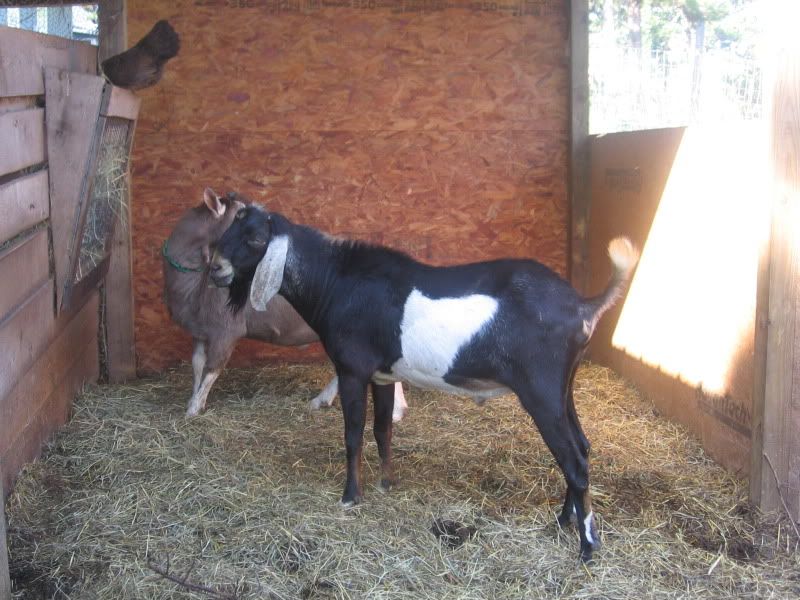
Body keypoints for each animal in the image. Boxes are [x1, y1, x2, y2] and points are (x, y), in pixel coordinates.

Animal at [163, 188, 407, 419]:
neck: (196, 284)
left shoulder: (226, 330)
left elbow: (211, 370)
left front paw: (193, 409)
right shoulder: (200, 331)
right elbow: (197, 365)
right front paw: (193, 400)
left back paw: (393, 412)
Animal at [209, 201, 639, 562]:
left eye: (255, 238)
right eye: (228, 230)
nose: (215, 268)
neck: (337, 280)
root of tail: (582, 306)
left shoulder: (352, 370)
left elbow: (354, 434)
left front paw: (351, 496)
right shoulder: (382, 373)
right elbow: (383, 428)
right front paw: (386, 483)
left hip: (541, 390)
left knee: (574, 460)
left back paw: (587, 548)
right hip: (563, 387)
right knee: (581, 447)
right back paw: (563, 520)